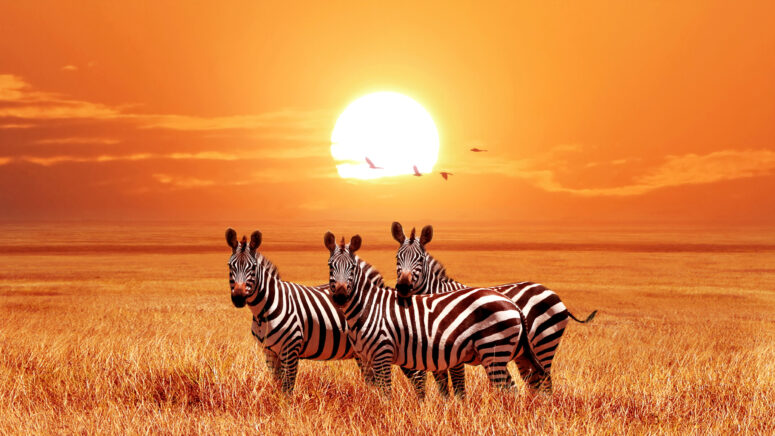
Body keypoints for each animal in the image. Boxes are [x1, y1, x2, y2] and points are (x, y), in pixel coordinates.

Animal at [324, 231, 546, 398]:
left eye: (352, 267)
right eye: (330, 266)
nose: (340, 297)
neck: (368, 307)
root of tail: (513, 304)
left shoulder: (382, 353)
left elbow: (386, 394)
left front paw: (385, 416)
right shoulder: (366, 358)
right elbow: (375, 392)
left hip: (494, 350)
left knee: (506, 389)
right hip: (504, 353)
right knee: (514, 388)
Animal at [391, 221, 597, 396]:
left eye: (420, 259)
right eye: (397, 258)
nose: (403, 287)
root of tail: (552, 293)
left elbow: (457, 386)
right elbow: (442, 386)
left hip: (544, 343)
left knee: (546, 383)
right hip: (525, 354)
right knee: (534, 383)